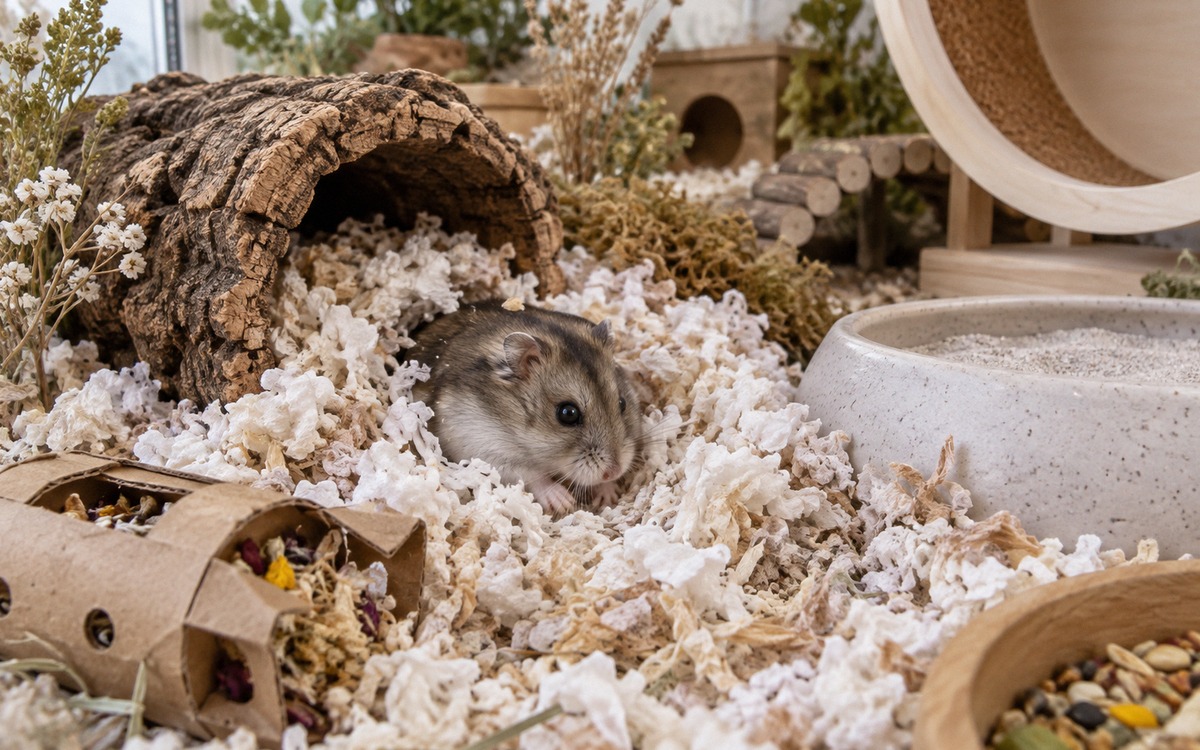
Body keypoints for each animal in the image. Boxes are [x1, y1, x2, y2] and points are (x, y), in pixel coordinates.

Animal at [406, 300, 643, 515]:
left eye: (622, 403)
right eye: (568, 413)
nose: (614, 472)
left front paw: (609, 494)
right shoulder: (482, 447)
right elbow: (531, 475)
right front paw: (564, 502)